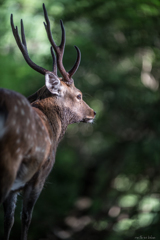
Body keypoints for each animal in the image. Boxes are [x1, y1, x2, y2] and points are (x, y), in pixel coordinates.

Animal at [0, 3, 95, 240]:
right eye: (79, 95)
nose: (93, 112)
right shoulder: (40, 176)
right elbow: (26, 219)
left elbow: (8, 221)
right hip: (9, 161)